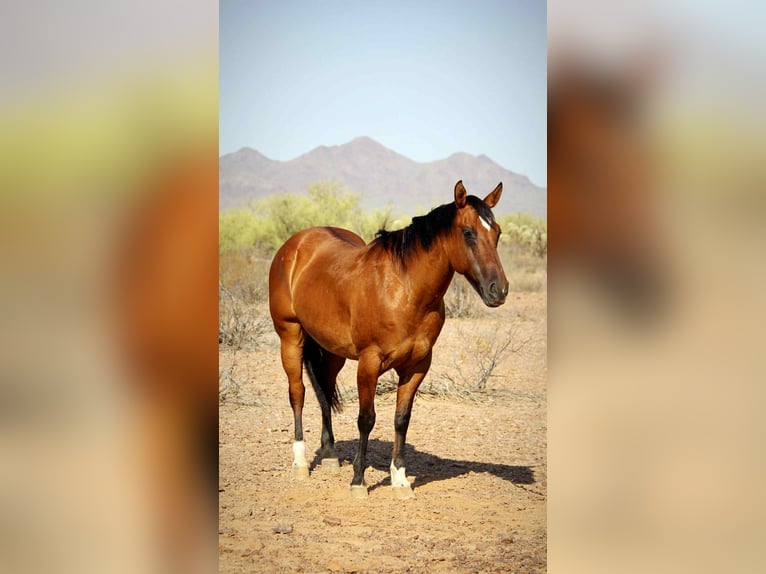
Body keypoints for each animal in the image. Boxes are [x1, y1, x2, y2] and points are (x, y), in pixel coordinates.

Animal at [268, 180, 509, 498]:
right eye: (468, 232)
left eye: (497, 232)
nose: (499, 290)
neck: (404, 289)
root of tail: (295, 245)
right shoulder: (369, 363)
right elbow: (366, 419)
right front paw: (358, 481)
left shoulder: (416, 366)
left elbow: (401, 419)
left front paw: (400, 480)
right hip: (290, 337)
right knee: (298, 394)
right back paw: (300, 464)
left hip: (332, 352)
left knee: (324, 393)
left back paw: (330, 455)